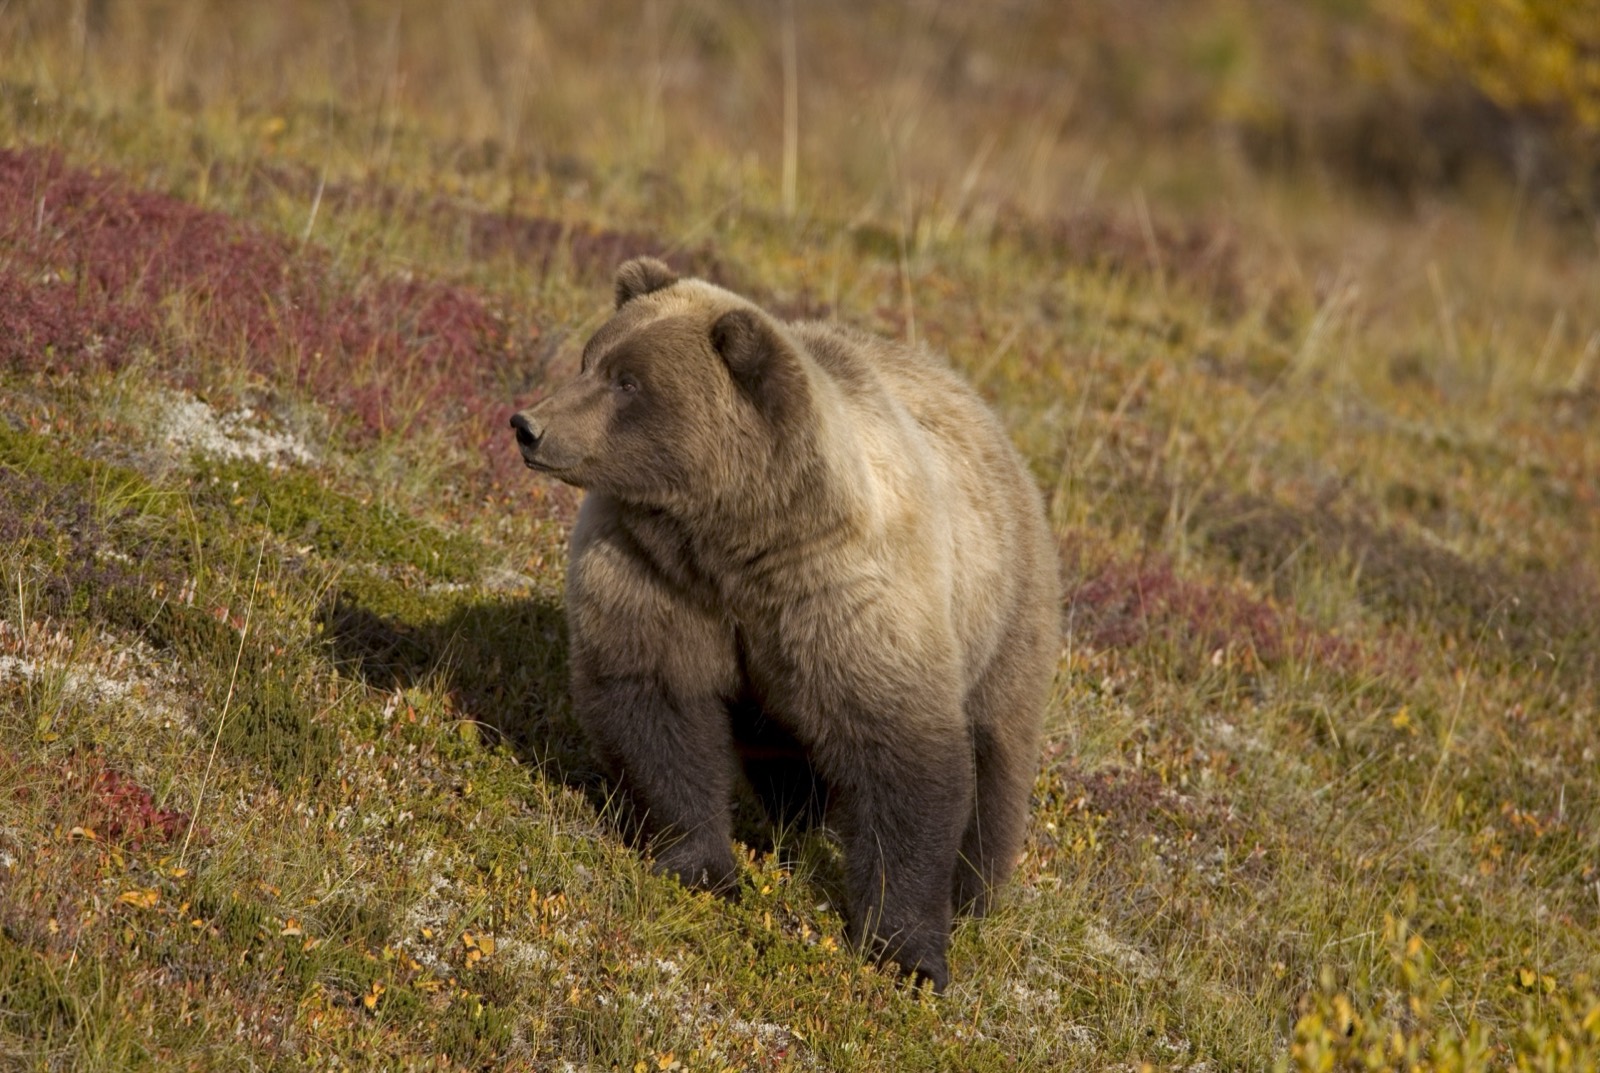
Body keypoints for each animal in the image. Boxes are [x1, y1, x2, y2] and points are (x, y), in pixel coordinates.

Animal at [509, 257, 1058, 991]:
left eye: (629, 381)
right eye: (590, 360)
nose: (529, 425)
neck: (736, 539)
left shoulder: (846, 598)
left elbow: (906, 758)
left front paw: (908, 951)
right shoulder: (653, 570)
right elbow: (656, 704)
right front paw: (703, 866)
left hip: (1003, 610)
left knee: (996, 755)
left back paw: (975, 894)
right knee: (783, 747)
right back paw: (796, 825)